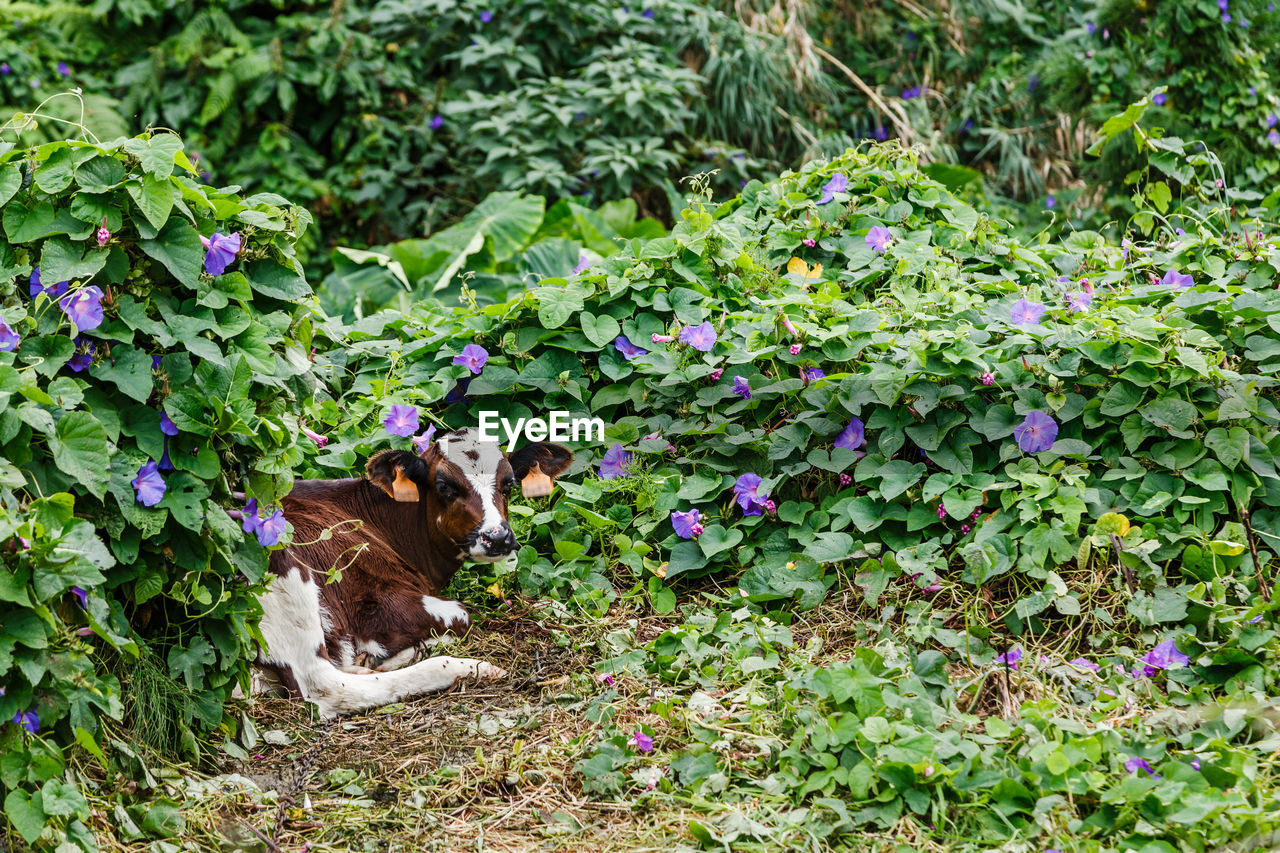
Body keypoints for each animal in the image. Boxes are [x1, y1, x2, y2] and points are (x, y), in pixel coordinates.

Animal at [253, 427, 570, 712]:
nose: (498, 537)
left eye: (509, 484)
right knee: (327, 687)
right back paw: (470, 667)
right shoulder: (374, 601)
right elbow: (463, 614)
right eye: (445, 486)